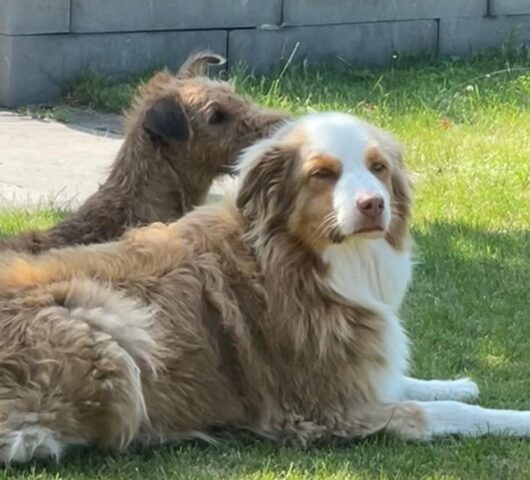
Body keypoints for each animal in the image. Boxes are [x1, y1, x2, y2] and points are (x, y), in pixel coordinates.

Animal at [1, 112, 528, 464]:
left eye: (378, 168)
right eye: (323, 173)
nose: (373, 204)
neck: (303, 257)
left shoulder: (355, 376)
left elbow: (411, 382)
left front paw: (458, 382)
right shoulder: (331, 410)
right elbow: (443, 414)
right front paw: (515, 418)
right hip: (112, 324)